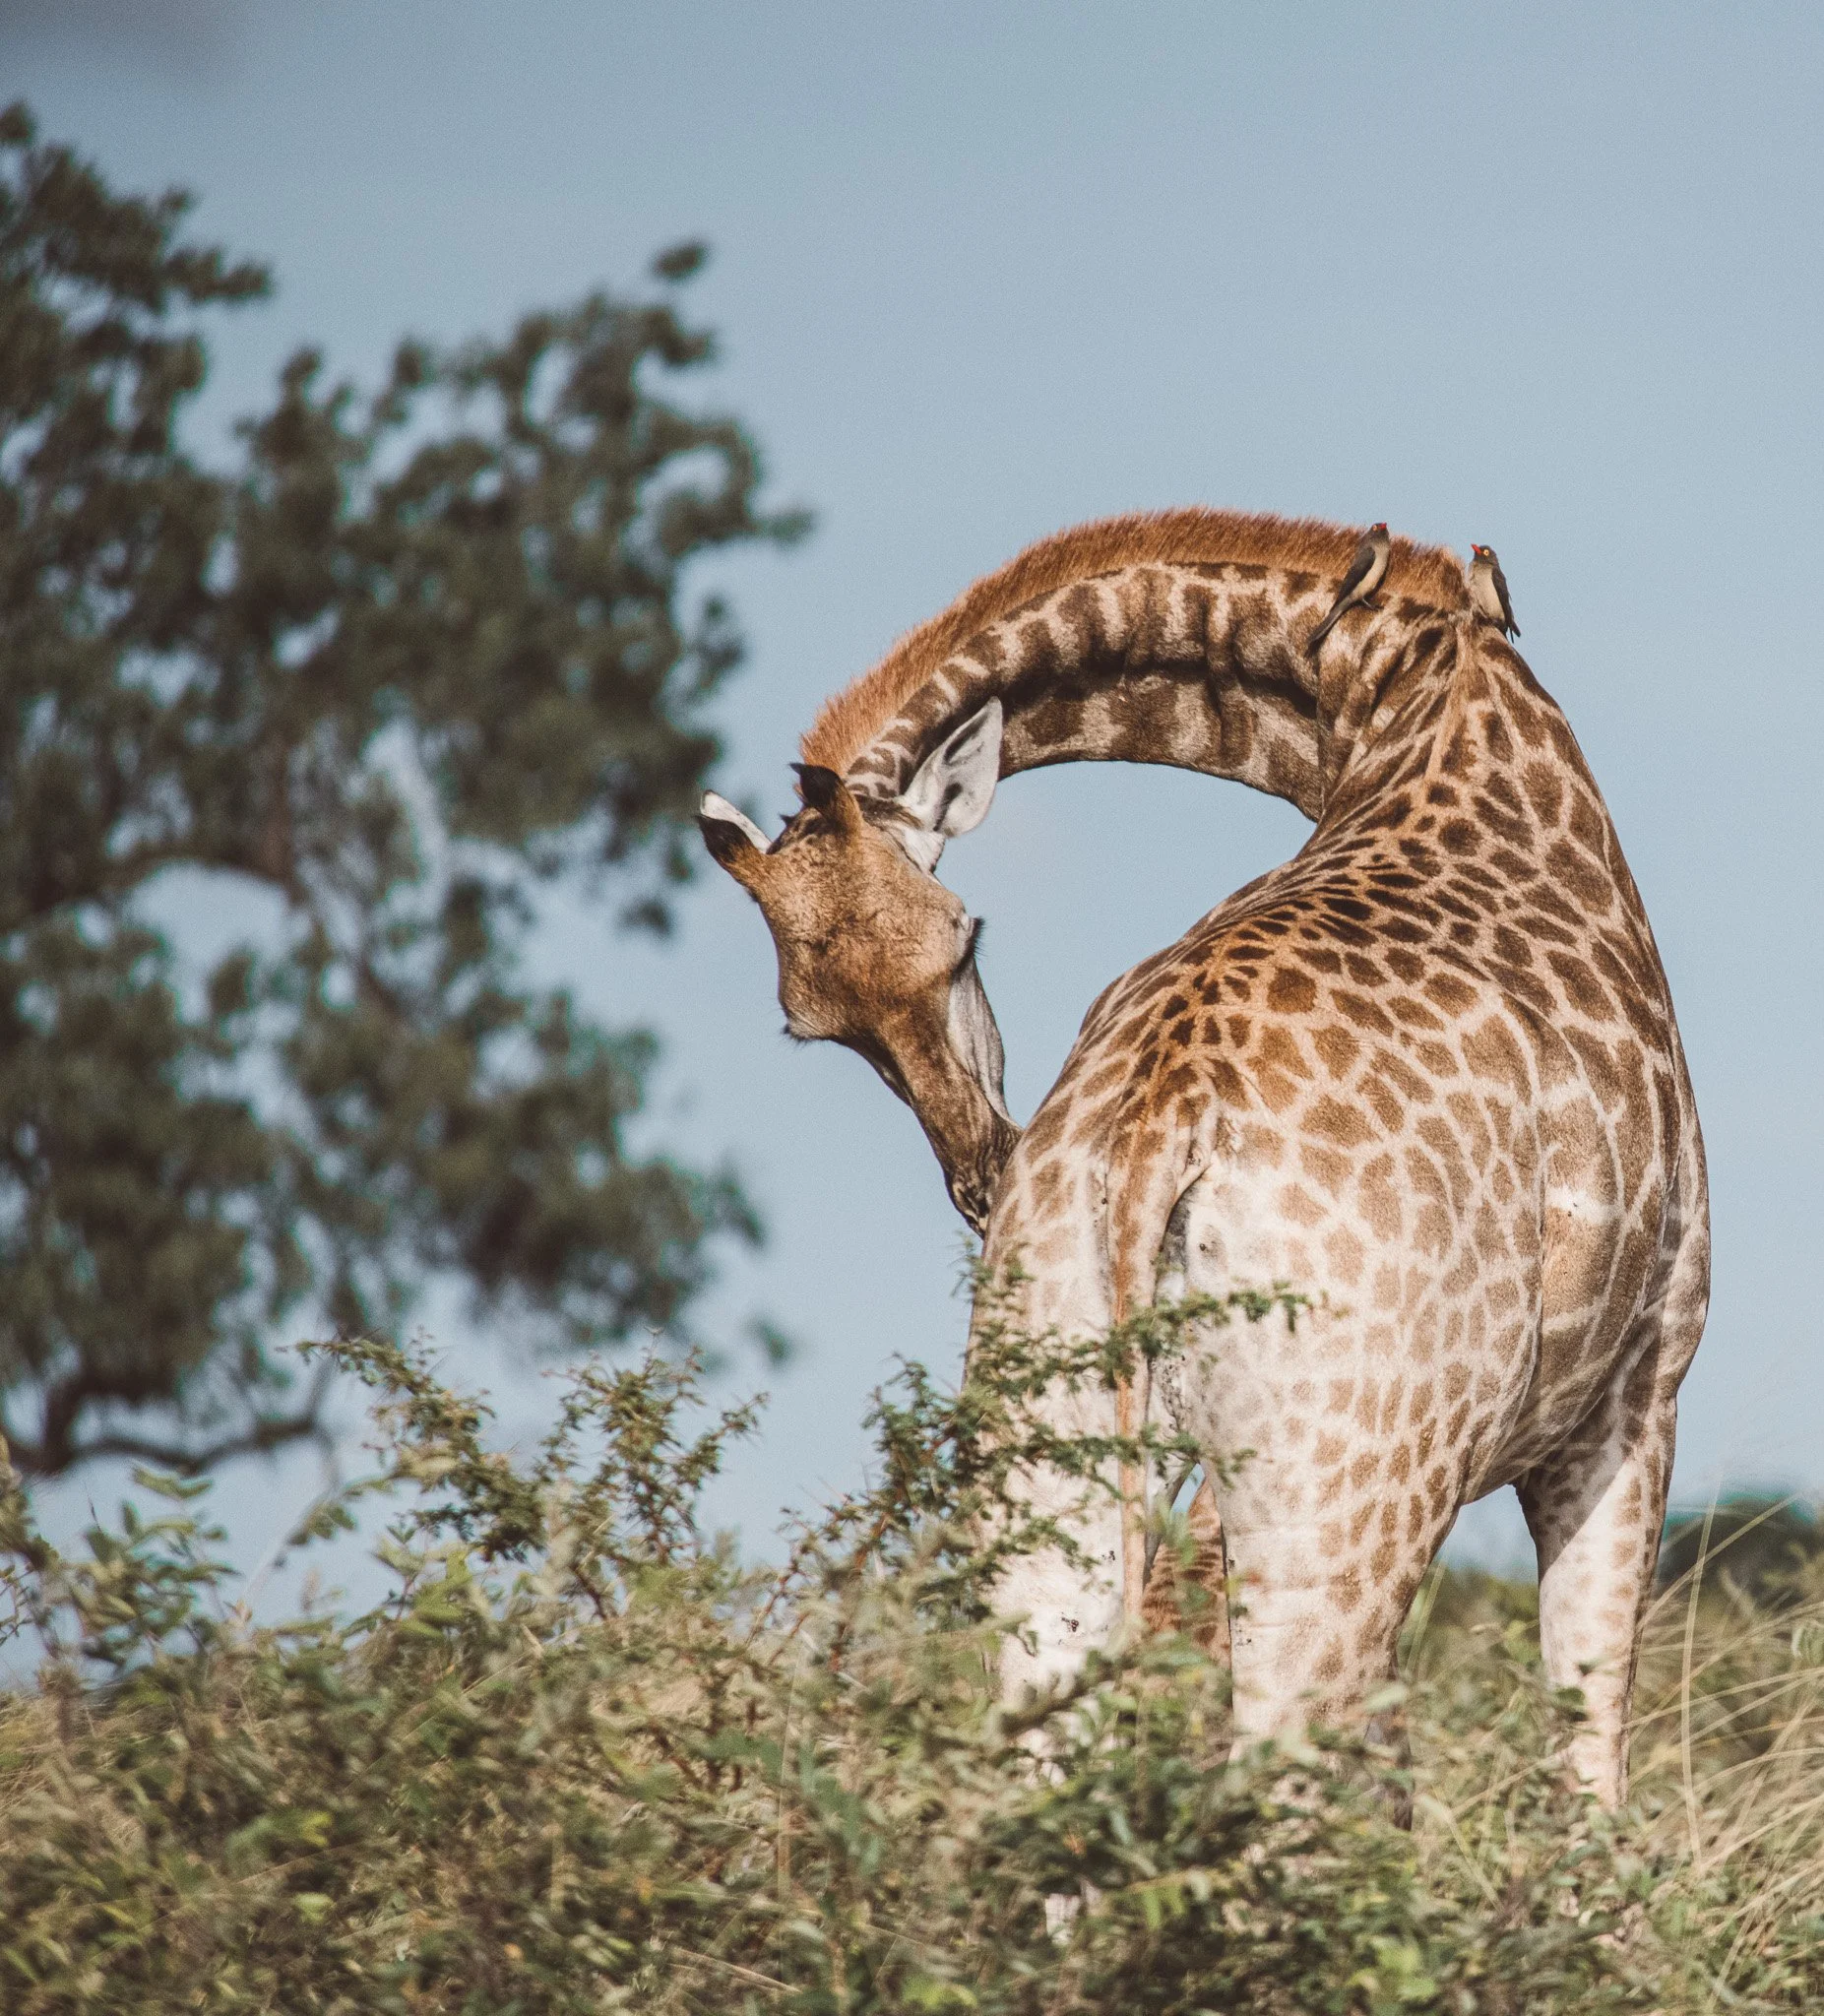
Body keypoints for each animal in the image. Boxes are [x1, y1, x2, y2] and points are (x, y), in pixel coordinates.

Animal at [700, 508, 1709, 1804]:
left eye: (964, 940)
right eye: (819, 1027)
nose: (978, 1172)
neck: (1380, 682)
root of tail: (1152, 1128)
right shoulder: (1636, 1391)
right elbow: (1586, 1764)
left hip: (1051, 1466)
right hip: (1346, 1495)